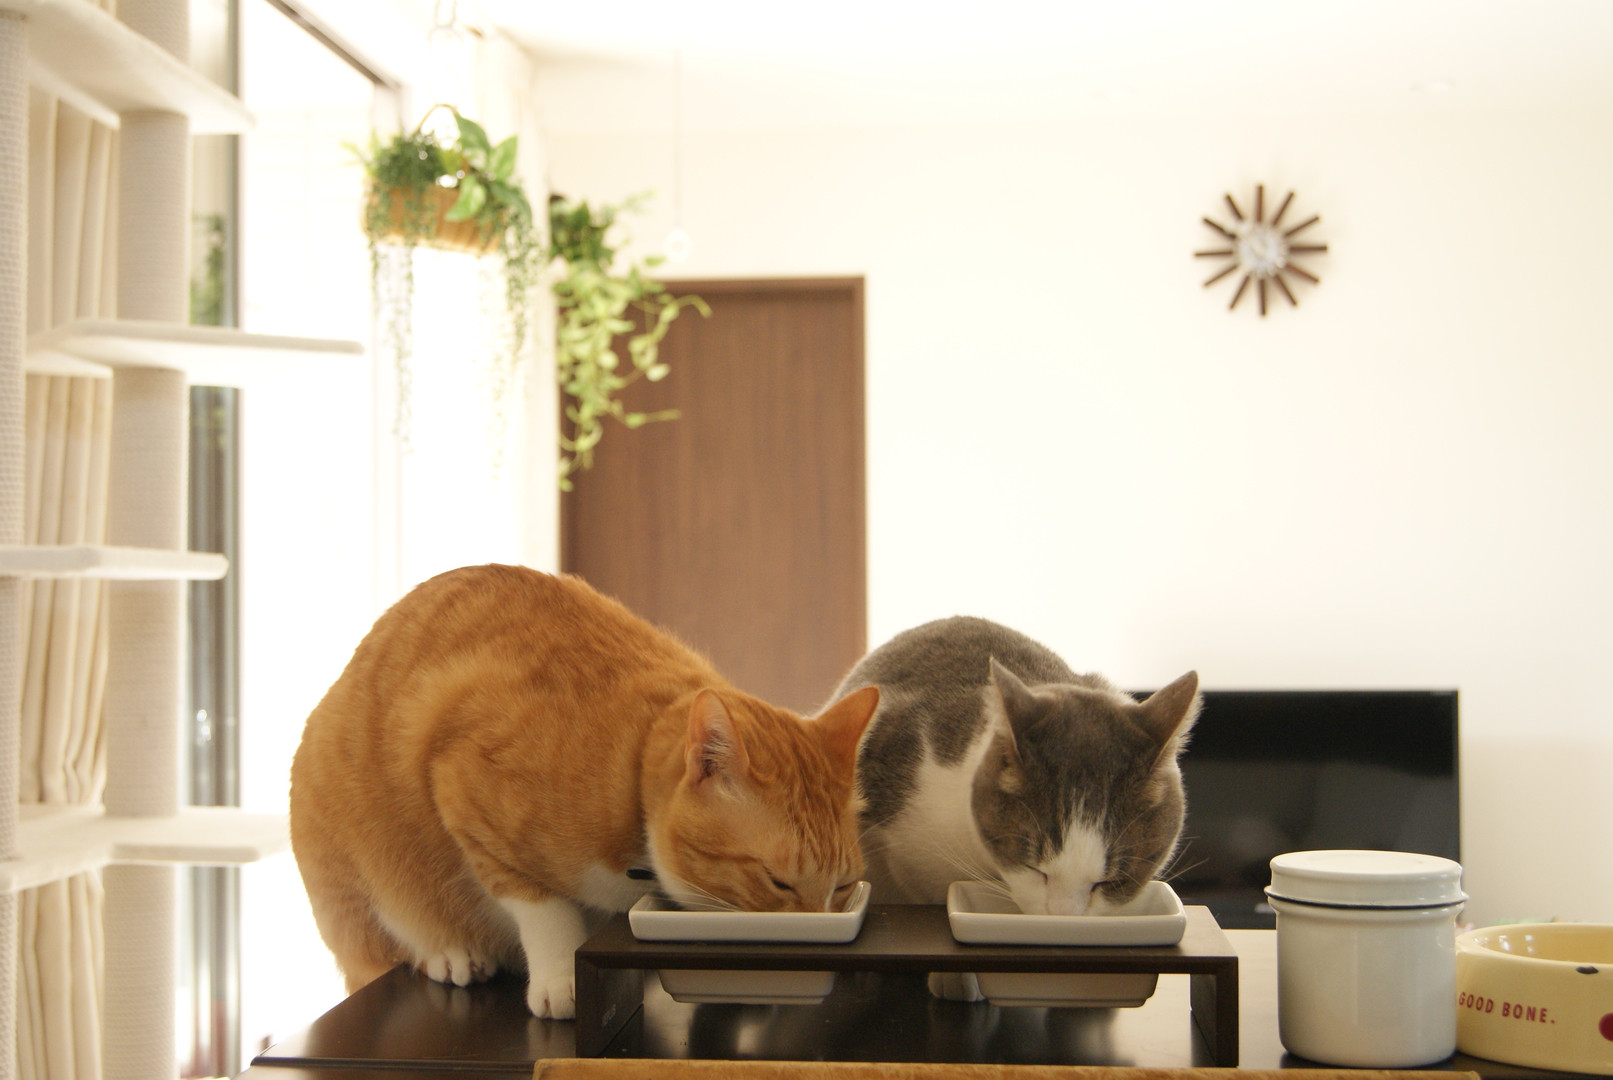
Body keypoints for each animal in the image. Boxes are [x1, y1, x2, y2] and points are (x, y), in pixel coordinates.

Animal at [289, 564, 878, 1020]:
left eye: (843, 886)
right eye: (779, 882)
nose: (818, 929)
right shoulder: (465, 790)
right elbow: (542, 908)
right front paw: (562, 979)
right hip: (352, 862)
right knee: (389, 943)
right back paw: (451, 953)